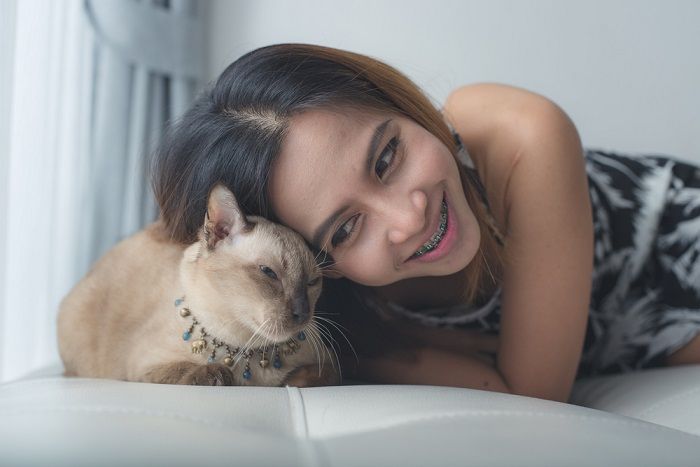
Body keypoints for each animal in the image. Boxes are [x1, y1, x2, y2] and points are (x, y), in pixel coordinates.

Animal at [56, 184, 340, 388]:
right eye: (269, 272)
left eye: (313, 282)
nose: (303, 314)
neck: (244, 349)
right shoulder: (142, 366)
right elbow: (192, 370)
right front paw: (218, 374)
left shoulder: (329, 363)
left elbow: (318, 374)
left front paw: (289, 381)